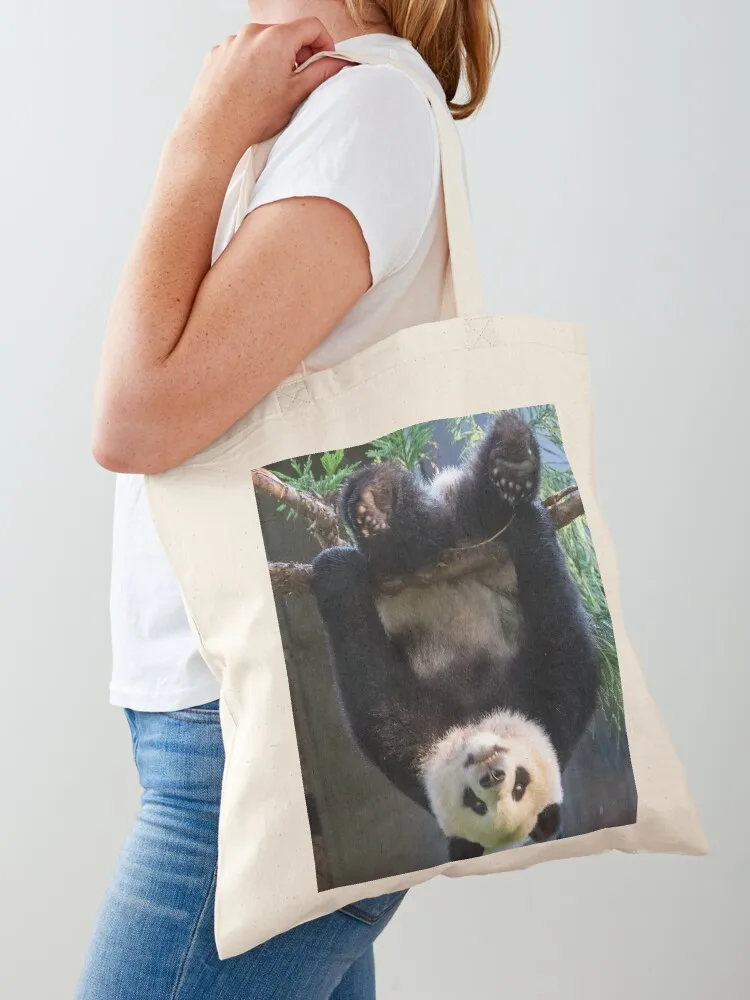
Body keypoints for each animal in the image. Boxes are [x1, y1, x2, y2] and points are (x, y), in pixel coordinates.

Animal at [310, 410, 600, 861]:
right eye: (475, 802)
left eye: (518, 787)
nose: (490, 772)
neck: (475, 714)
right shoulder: (416, 751)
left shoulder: (547, 711)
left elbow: (564, 646)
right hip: (452, 531)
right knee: (429, 530)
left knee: (451, 521)